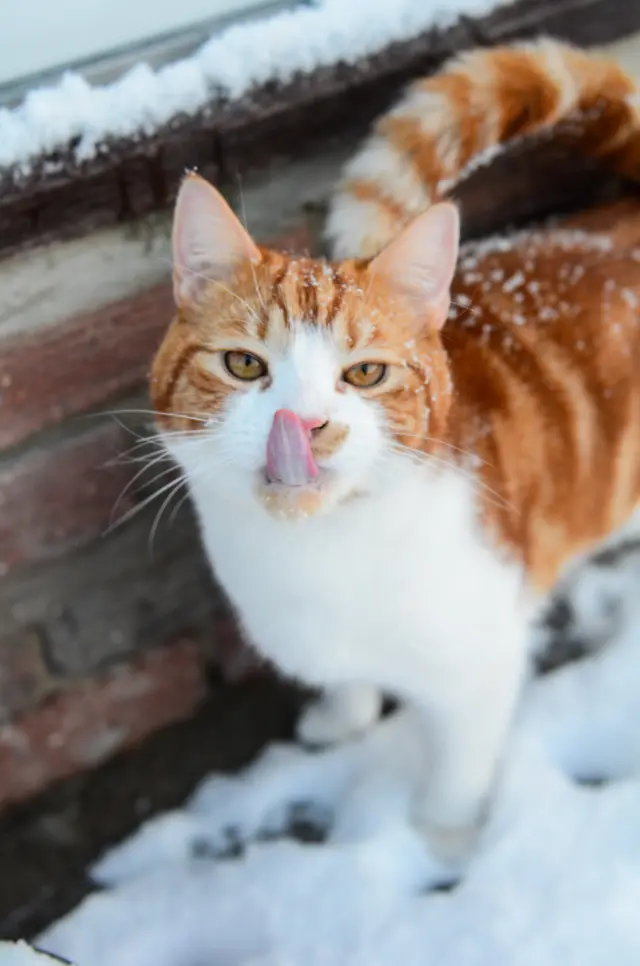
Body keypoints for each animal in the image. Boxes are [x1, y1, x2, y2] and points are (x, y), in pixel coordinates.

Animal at [151, 37, 640, 872]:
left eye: (366, 374)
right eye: (245, 365)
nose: (306, 423)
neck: (318, 556)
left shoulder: (483, 661)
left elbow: (459, 765)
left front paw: (443, 838)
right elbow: (351, 682)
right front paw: (344, 715)